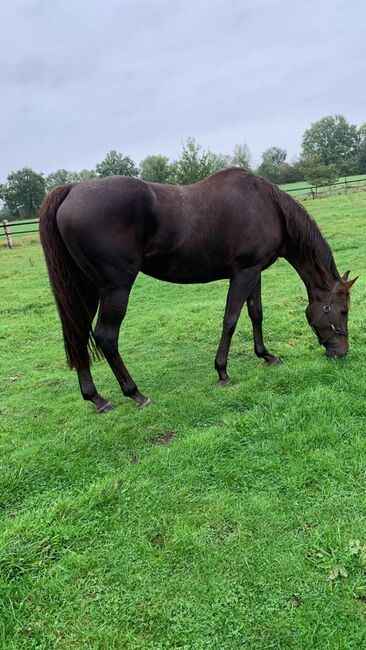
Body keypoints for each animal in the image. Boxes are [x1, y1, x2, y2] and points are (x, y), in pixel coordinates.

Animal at [40, 167, 358, 410]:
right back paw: (135, 393)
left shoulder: (254, 272)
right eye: (342, 311)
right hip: (115, 288)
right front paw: (222, 371)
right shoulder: (243, 273)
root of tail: (72, 190)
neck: (268, 206)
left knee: (78, 333)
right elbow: (231, 320)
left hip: (86, 289)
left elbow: (256, 314)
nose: (341, 352)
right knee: (106, 336)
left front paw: (266, 355)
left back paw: (96, 398)